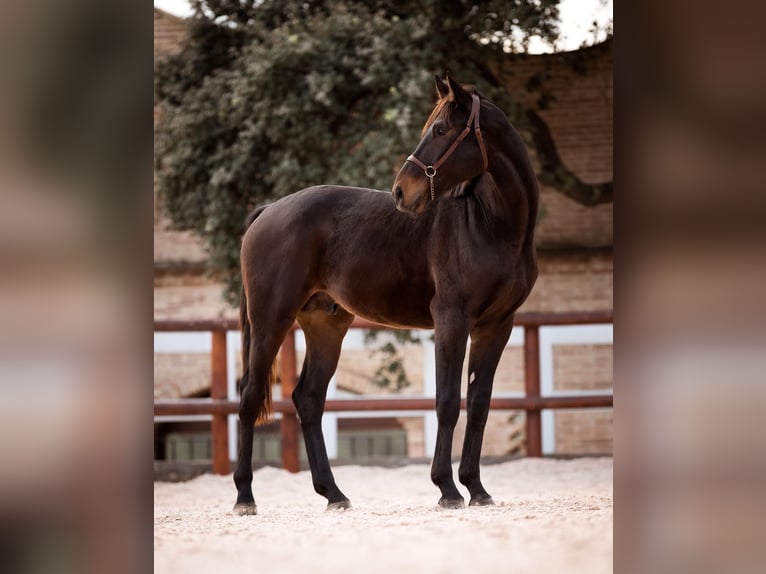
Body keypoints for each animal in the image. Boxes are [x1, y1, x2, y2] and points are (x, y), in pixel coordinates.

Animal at [234, 74, 540, 516]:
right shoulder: (452, 318)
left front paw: (477, 488)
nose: (400, 192)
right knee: (250, 395)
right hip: (270, 320)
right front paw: (448, 489)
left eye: (440, 130)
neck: (490, 225)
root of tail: (269, 210)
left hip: (325, 326)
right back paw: (244, 497)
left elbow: (479, 403)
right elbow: (447, 401)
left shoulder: (497, 325)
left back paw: (335, 494)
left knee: (308, 400)